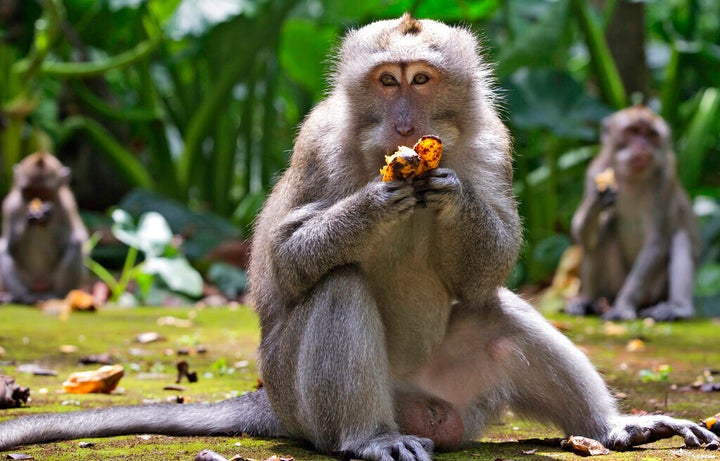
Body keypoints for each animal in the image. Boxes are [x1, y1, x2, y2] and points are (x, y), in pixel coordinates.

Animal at [0, 153, 88, 304]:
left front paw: (47, 216)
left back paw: (56, 294)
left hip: (51, 279)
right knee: (3, 249)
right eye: (29, 191)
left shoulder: (67, 206)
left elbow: (71, 240)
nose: (37, 200)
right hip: (27, 279)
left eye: (45, 192)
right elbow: (10, 247)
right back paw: (20, 296)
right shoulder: (11, 206)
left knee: (75, 243)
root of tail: (38, 285)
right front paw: (29, 218)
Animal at [568, 106, 696, 320]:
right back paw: (587, 300)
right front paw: (598, 198)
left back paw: (678, 307)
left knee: (680, 236)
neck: (632, 178)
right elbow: (581, 234)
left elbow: (656, 242)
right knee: (602, 232)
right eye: (633, 131)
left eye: (651, 135)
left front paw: (622, 307)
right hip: (612, 285)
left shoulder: (665, 180)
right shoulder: (594, 170)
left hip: (654, 291)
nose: (643, 147)